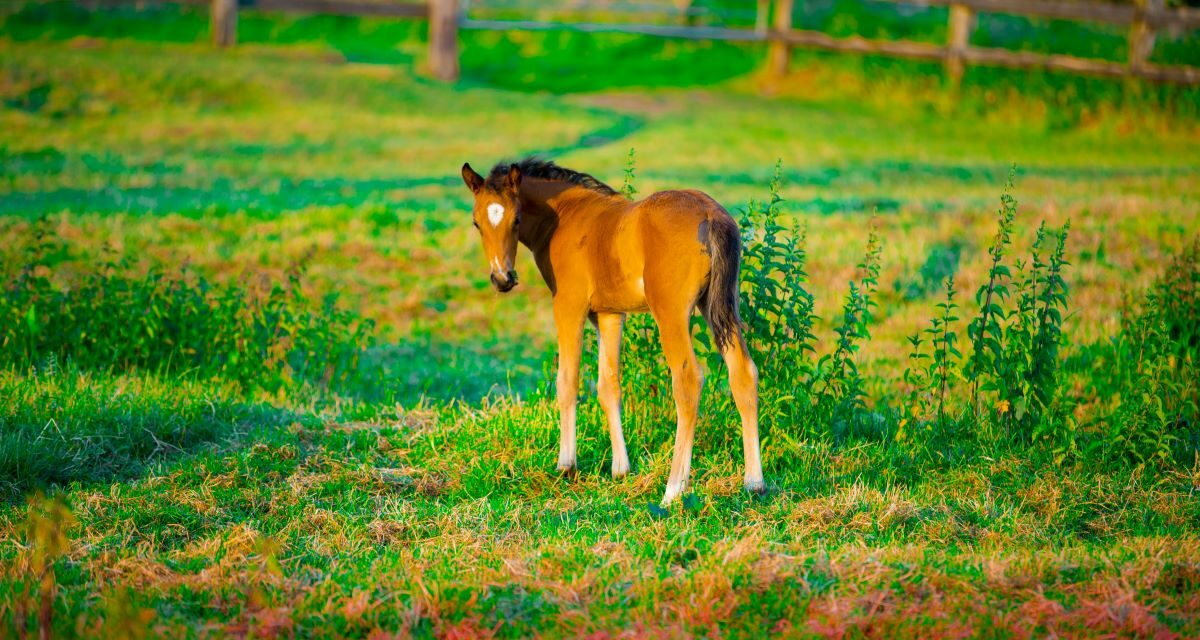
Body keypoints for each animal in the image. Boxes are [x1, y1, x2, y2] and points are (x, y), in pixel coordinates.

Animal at [460, 157, 763, 505]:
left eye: (517, 218)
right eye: (477, 223)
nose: (503, 279)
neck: (566, 215)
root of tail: (710, 214)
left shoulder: (569, 306)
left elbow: (567, 382)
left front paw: (566, 465)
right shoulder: (609, 315)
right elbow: (609, 385)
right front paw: (621, 468)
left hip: (671, 313)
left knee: (687, 381)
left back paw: (673, 489)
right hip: (720, 307)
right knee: (743, 373)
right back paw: (754, 483)